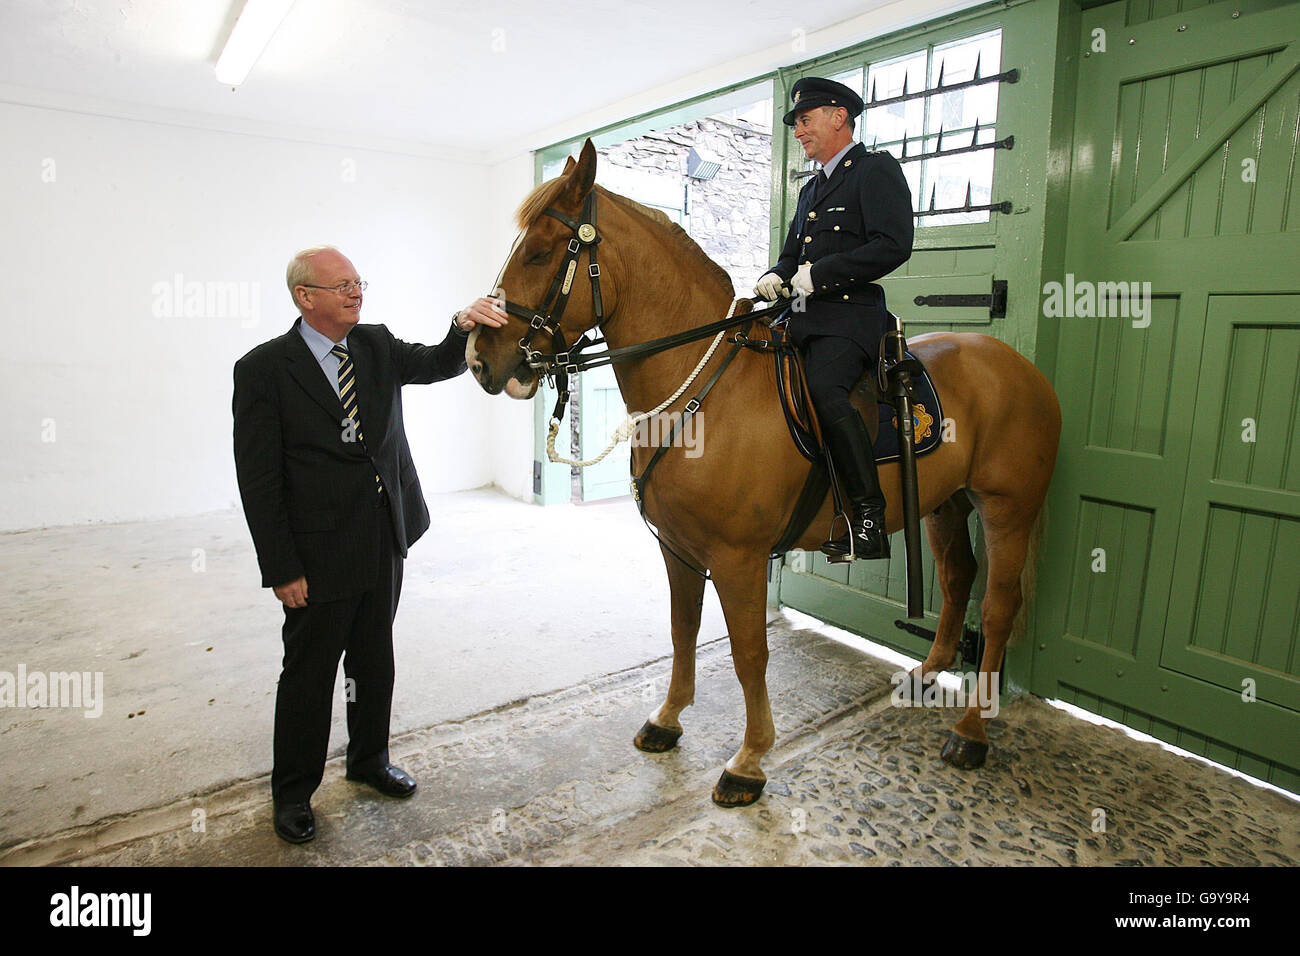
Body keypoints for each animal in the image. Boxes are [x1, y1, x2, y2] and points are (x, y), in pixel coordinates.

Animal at [467, 141, 1055, 806]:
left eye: (541, 250)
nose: (479, 359)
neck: (703, 395)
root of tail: (1016, 364)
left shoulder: (738, 557)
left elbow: (749, 651)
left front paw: (749, 759)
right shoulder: (679, 550)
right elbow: (683, 630)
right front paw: (668, 719)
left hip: (1007, 508)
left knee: (998, 606)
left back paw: (972, 730)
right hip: (946, 504)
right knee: (958, 581)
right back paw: (927, 675)